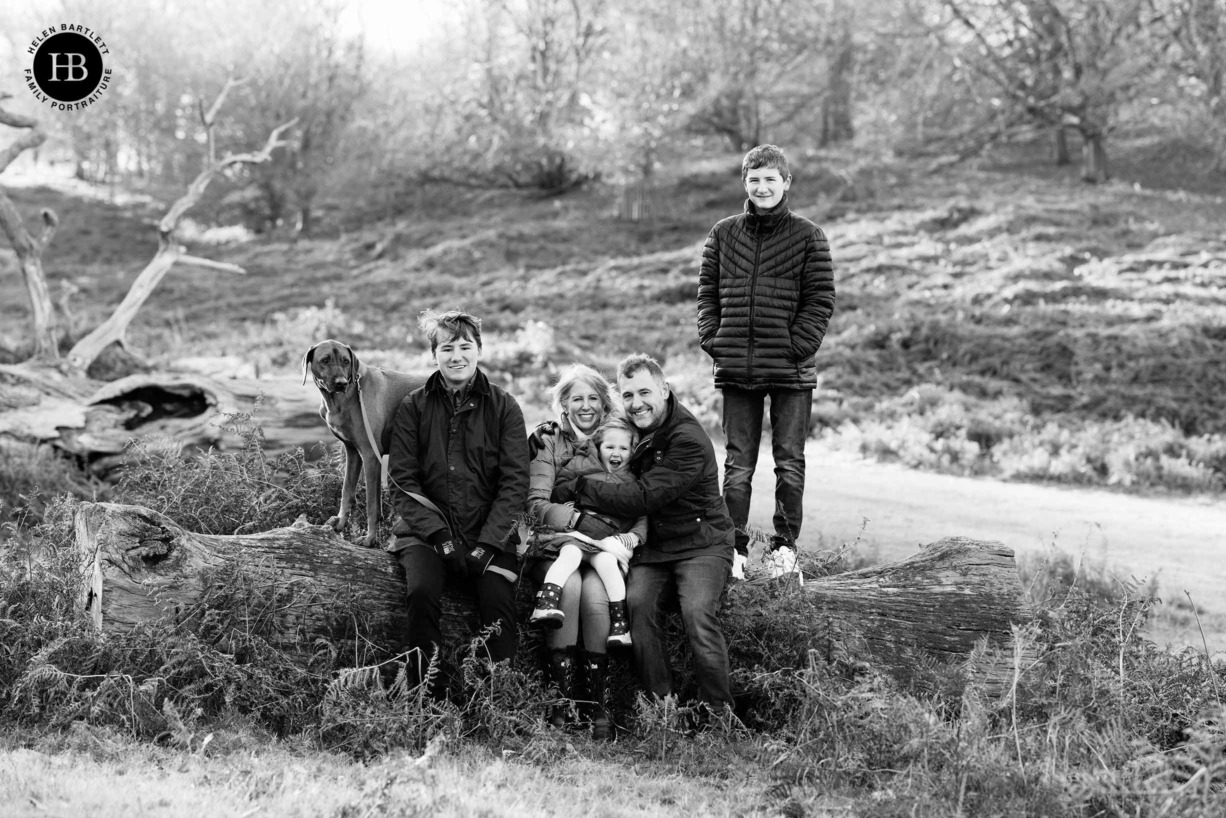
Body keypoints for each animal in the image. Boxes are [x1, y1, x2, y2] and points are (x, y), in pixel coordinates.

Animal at [301, 338, 426, 544]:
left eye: (346, 361)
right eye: (325, 360)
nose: (341, 383)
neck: (346, 397)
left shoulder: (369, 455)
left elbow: (371, 504)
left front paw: (370, 538)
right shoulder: (353, 453)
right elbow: (347, 491)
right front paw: (341, 522)